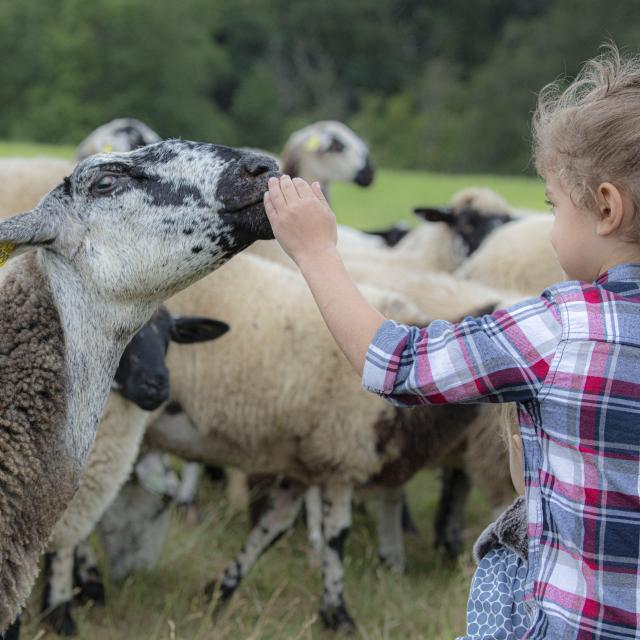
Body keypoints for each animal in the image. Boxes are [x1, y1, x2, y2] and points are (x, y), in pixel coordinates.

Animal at [135, 251, 504, 632]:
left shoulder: (304, 467)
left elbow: (272, 526)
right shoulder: (341, 460)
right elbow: (336, 536)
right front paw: (338, 615)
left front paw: (219, 592)